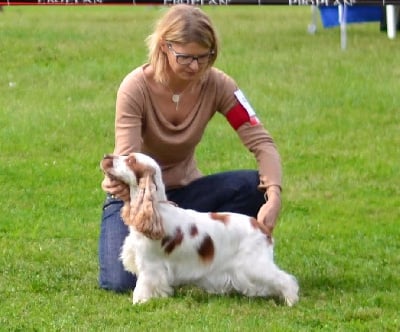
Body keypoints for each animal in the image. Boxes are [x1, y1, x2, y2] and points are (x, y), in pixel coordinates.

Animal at [101, 153, 298, 306]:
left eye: (131, 160)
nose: (106, 157)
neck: (156, 210)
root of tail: (261, 225)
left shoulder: (150, 266)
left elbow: (142, 288)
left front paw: (138, 303)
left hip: (255, 265)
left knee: (286, 279)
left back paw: (290, 301)